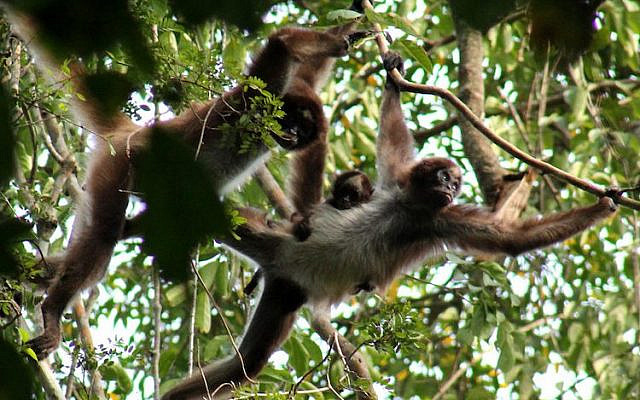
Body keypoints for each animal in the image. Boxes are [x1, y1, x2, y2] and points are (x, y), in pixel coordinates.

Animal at [7, 7, 368, 359]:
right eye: (292, 121)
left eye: (303, 131)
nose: (292, 135)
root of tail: (132, 133)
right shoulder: (256, 96)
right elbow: (282, 44)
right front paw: (339, 42)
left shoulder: (290, 90)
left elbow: (307, 70)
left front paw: (348, 28)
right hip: (118, 167)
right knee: (105, 235)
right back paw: (52, 313)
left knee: (120, 231)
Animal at [159, 51, 619, 400]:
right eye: (445, 178)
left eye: (456, 184)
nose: (450, 188)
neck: (406, 209)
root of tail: (281, 265)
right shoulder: (400, 183)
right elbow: (393, 143)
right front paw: (393, 80)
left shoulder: (438, 221)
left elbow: (509, 240)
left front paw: (604, 206)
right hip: (277, 243)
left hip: (288, 290)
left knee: (245, 366)